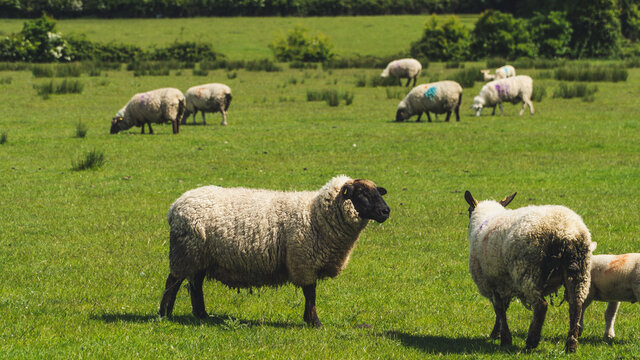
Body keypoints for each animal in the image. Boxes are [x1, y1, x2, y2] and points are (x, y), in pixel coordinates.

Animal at [160, 174, 390, 326]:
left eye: (377, 192)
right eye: (362, 193)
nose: (385, 211)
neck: (316, 215)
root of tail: (174, 207)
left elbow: (310, 294)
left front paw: (310, 320)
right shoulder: (303, 261)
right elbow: (310, 293)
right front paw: (314, 322)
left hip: (199, 257)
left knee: (195, 285)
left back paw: (201, 315)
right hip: (185, 253)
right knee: (173, 282)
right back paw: (164, 314)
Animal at [464, 190, 596, 352]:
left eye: (468, 210)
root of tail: (565, 231)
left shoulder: (492, 281)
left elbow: (499, 310)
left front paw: (505, 339)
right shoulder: (503, 283)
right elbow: (502, 309)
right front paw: (497, 334)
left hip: (528, 272)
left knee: (541, 306)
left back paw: (531, 342)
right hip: (579, 270)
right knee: (576, 306)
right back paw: (571, 345)